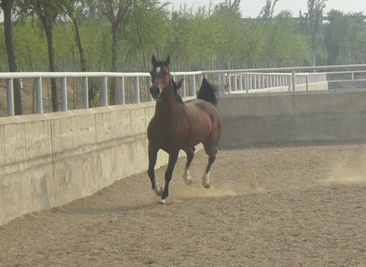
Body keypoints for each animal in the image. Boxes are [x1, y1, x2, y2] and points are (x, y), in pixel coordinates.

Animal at [147, 55, 222, 204]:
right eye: (151, 73)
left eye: (165, 72)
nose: (155, 90)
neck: (165, 119)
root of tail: (208, 105)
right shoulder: (152, 146)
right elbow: (150, 171)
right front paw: (158, 190)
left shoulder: (174, 150)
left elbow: (168, 173)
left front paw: (163, 196)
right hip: (187, 143)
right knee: (191, 153)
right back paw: (187, 179)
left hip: (208, 143)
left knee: (212, 154)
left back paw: (206, 182)